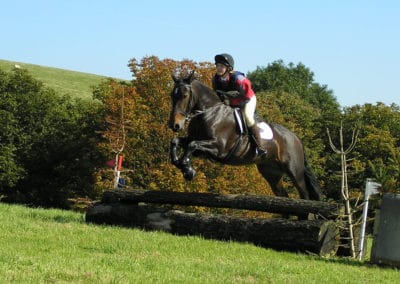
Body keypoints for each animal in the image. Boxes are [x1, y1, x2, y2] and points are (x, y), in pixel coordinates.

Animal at [168, 71, 322, 202]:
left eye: (184, 96)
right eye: (172, 95)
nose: (174, 125)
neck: (209, 112)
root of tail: (296, 138)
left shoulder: (219, 148)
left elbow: (192, 144)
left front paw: (188, 169)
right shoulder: (200, 146)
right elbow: (177, 141)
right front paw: (181, 164)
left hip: (294, 171)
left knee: (304, 195)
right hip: (271, 172)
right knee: (283, 195)